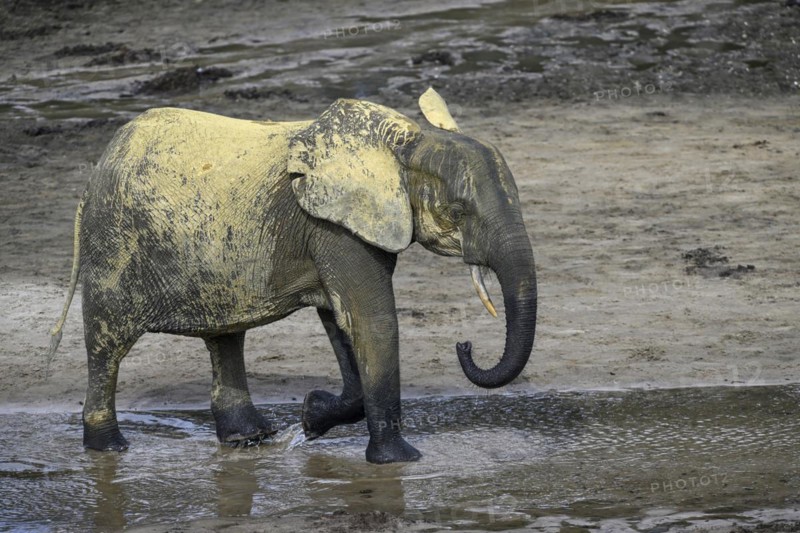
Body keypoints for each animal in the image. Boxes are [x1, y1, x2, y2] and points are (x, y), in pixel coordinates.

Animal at [47, 88, 537, 464]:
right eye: (458, 211)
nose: (464, 344)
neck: (406, 143)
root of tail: (94, 174)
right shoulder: (330, 223)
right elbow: (372, 321)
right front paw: (400, 462)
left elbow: (342, 321)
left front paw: (311, 416)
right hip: (114, 244)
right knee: (107, 343)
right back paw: (109, 449)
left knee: (225, 337)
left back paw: (250, 439)